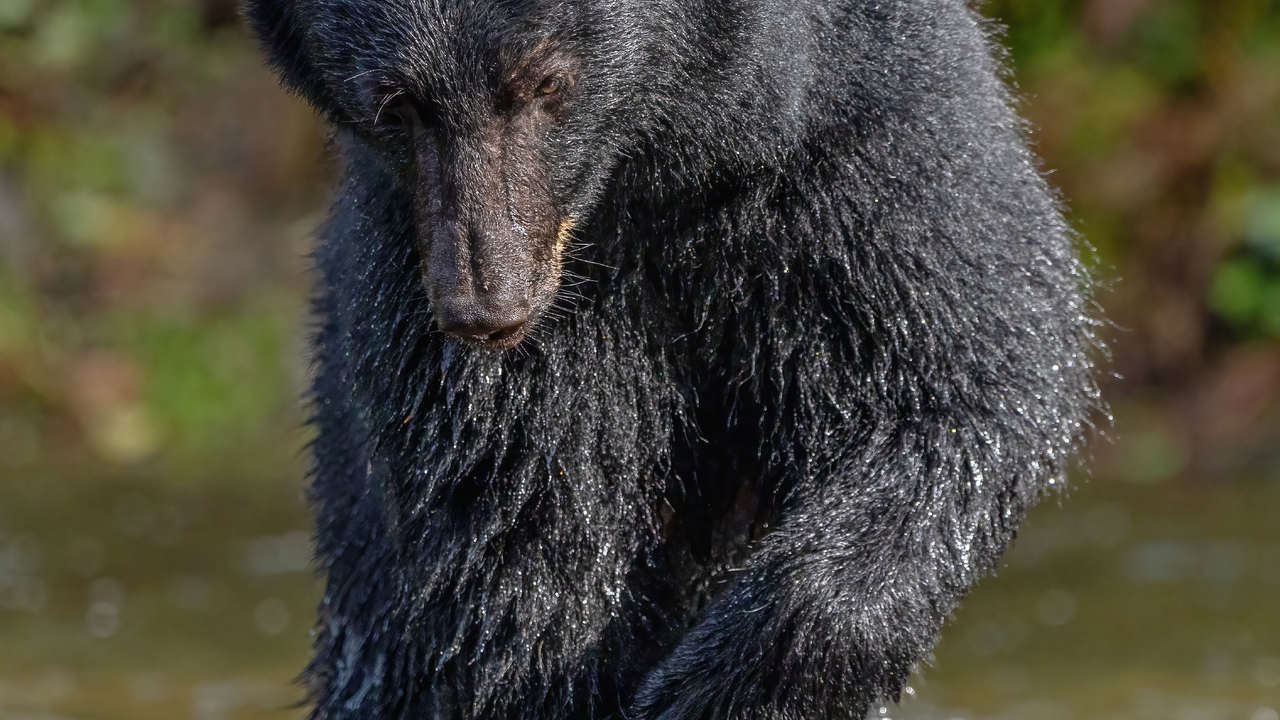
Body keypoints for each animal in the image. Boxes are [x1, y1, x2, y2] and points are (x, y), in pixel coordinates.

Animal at [245, 0, 1100, 718]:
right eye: (395, 102)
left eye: (546, 83)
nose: (486, 310)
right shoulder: (447, 308)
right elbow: (531, 552)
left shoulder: (870, 138)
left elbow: (961, 382)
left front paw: (714, 687)